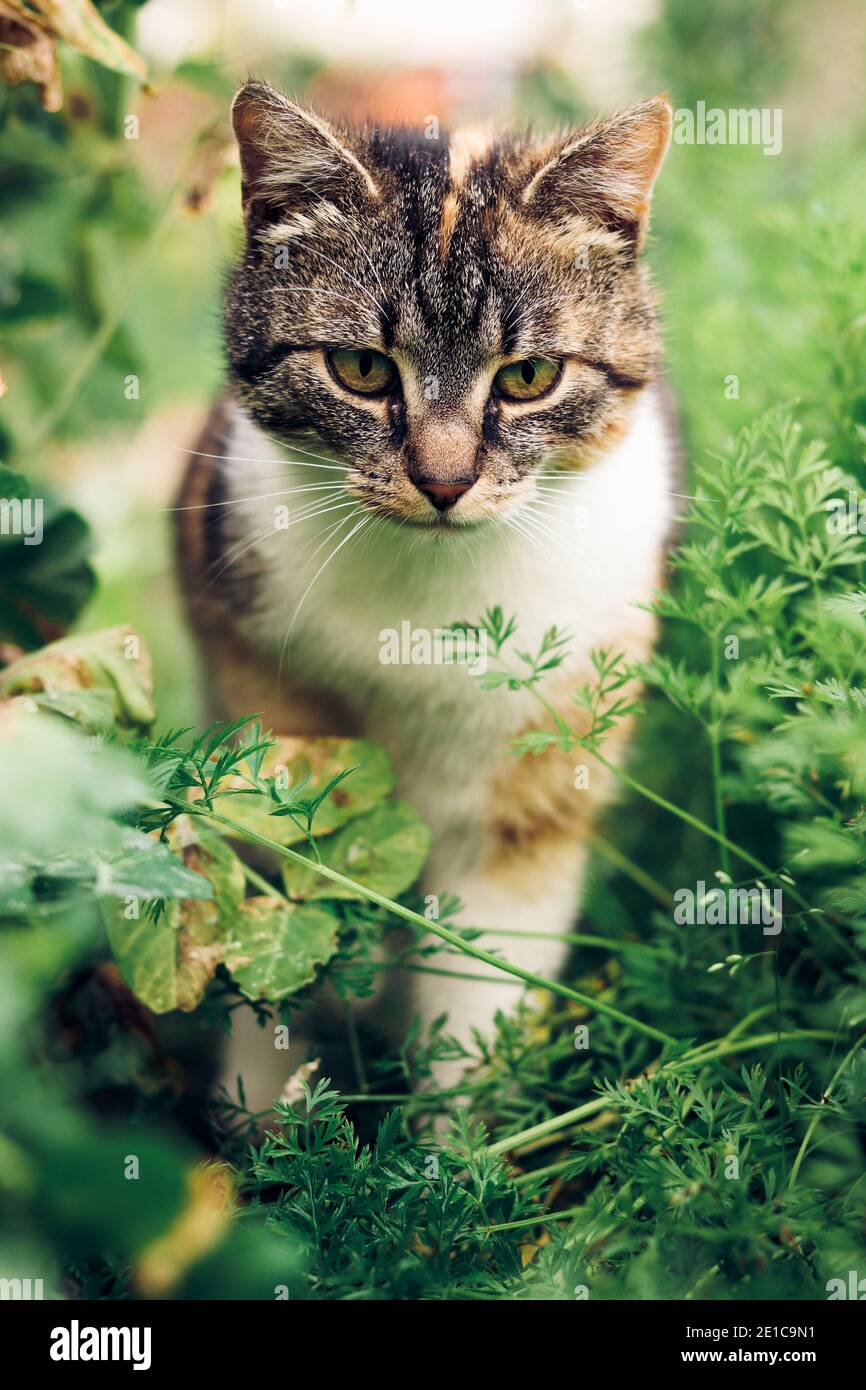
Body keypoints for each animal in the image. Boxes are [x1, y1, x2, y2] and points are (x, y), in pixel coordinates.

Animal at [174, 78, 678, 1095]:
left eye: (529, 376)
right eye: (361, 367)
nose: (443, 482)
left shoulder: (527, 816)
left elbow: (478, 1013)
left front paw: (463, 1135)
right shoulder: (266, 726)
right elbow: (281, 954)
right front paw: (272, 1122)